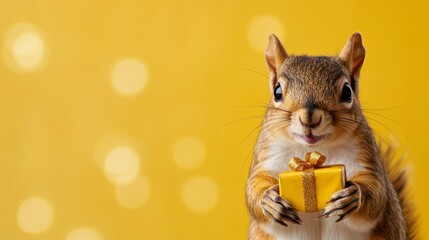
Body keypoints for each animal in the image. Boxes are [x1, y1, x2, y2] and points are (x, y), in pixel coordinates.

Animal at [244, 32, 414, 240]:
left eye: (347, 91)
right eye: (277, 91)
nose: (309, 118)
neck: (313, 150)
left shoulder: (367, 160)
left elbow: (377, 193)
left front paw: (353, 196)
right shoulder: (266, 159)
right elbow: (254, 187)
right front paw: (268, 200)